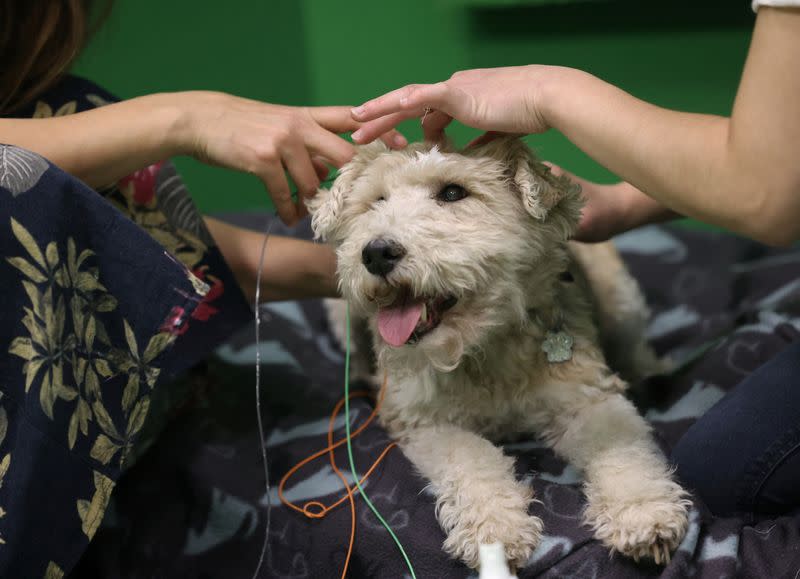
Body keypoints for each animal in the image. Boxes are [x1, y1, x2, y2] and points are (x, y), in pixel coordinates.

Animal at [306, 137, 688, 576]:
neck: (484, 349)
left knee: (635, 345)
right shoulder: (425, 420)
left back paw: (651, 371)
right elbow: (473, 460)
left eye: (453, 192)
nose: (376, 252)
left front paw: (644, 516)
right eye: (376, 200)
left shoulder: (587, 397)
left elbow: (623, 452)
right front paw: (496, 532)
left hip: (620, 299)